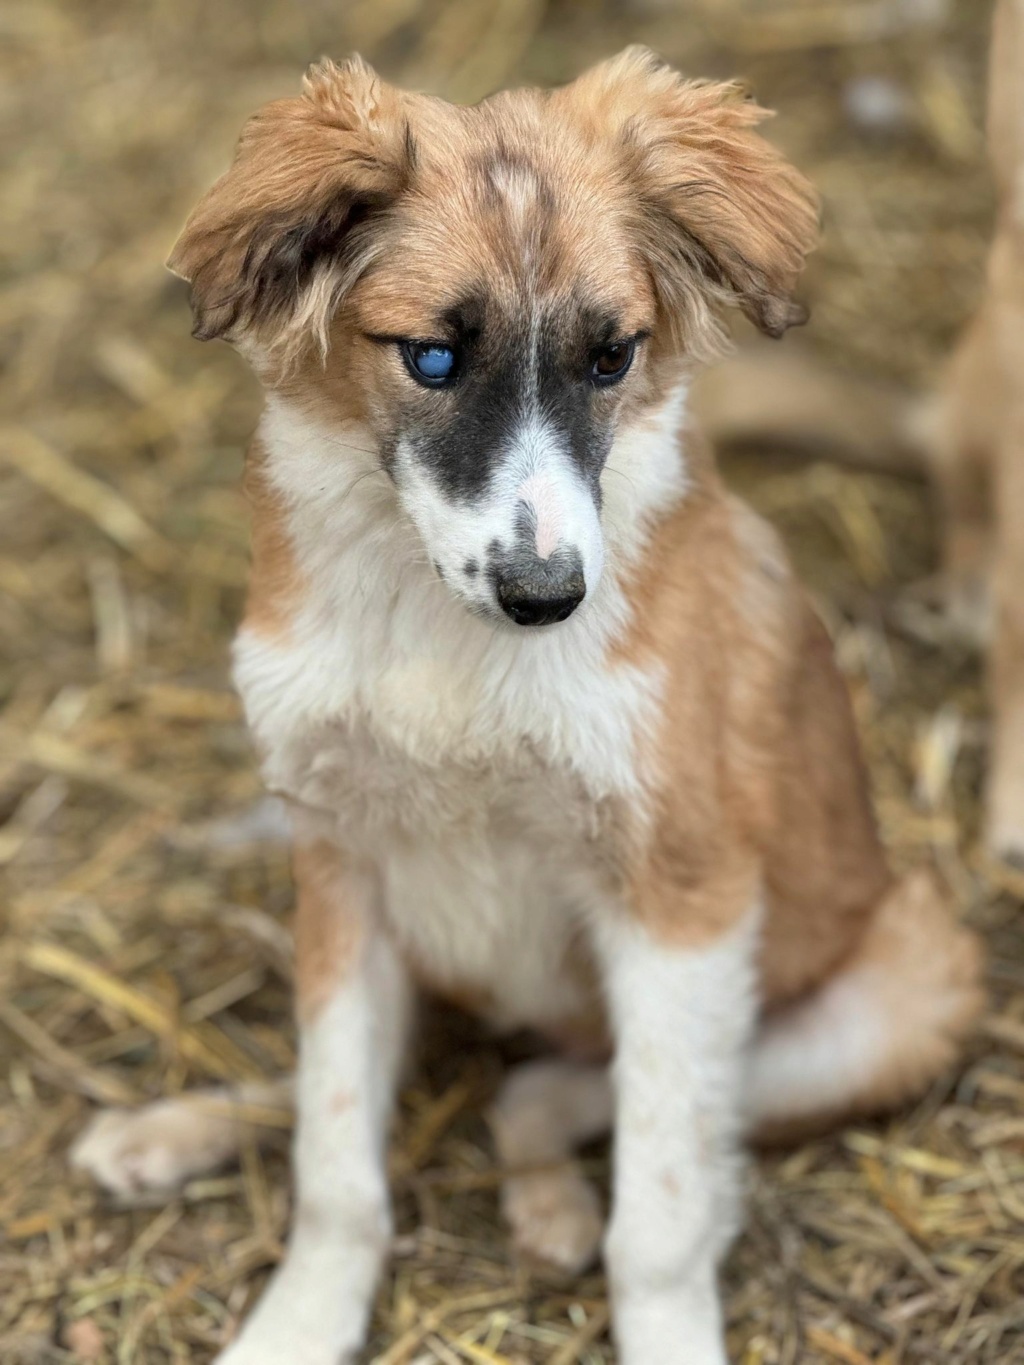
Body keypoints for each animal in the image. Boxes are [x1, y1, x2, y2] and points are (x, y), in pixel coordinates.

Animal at [72, 48, 988, 1365]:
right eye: (432, 359)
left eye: (611, 359)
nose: (549, 596)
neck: (442, 637)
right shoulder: (342, 863)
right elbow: (334, 1152)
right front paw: (299, 1321)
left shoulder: (681, 897)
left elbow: (659, 1210)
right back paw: (168, 1132)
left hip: (895, 990)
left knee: (566, 1091)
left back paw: (545, 1196)